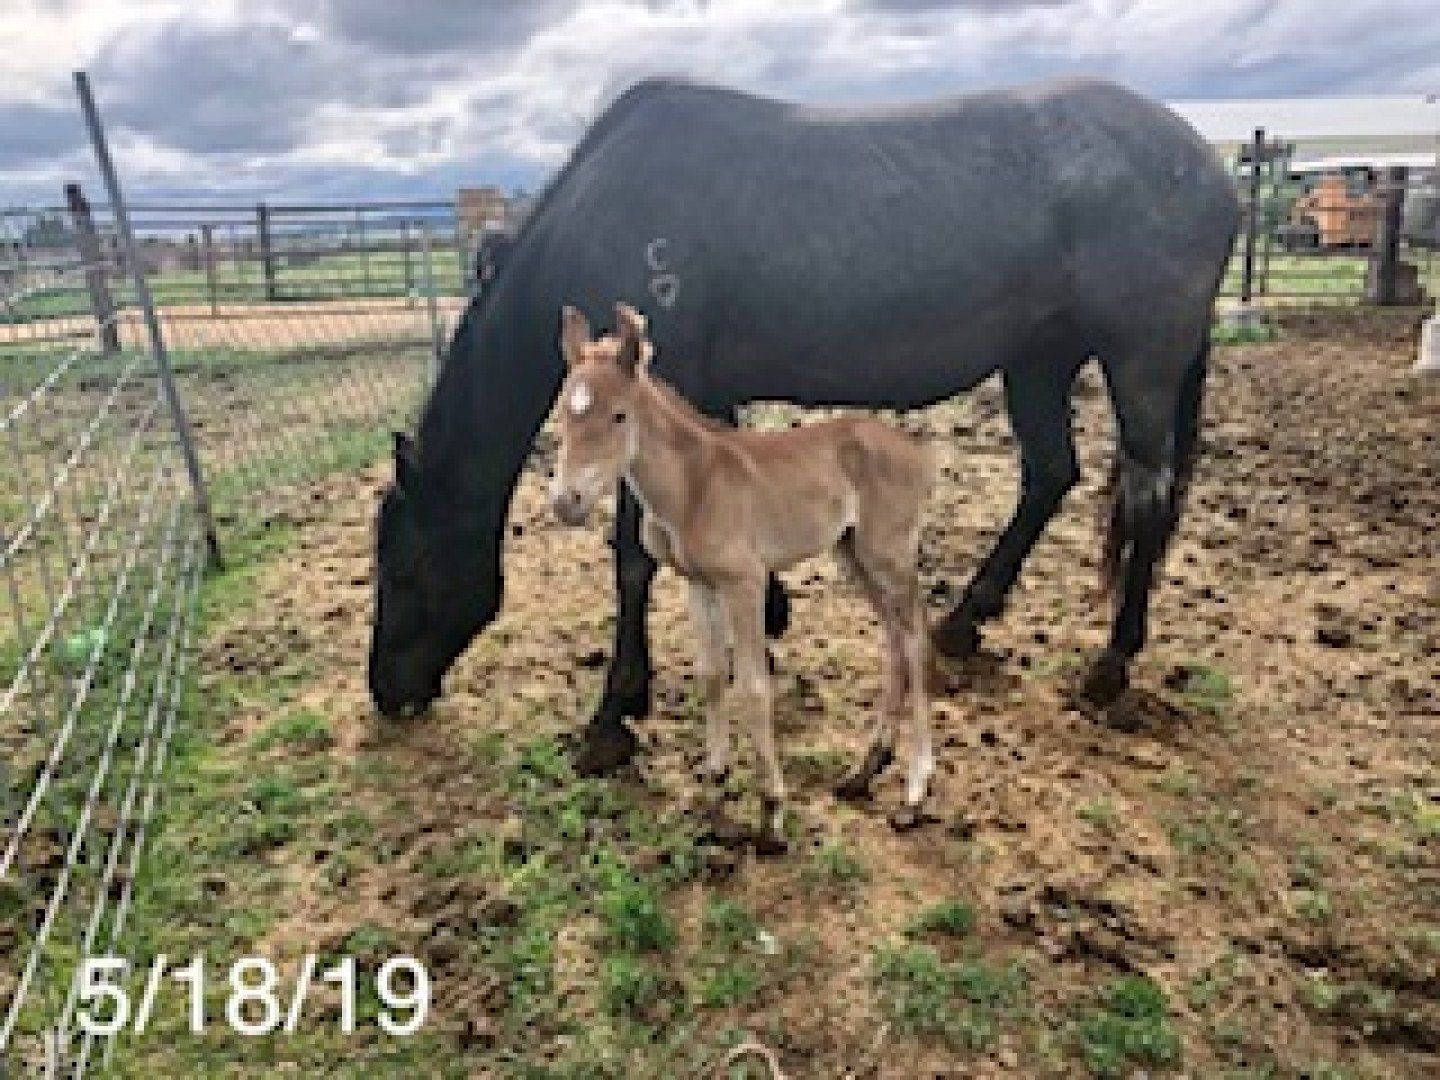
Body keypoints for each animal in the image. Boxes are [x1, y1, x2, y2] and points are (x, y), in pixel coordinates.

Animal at [368, 76, 1239, 778]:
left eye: (405, 569)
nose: (385, 690)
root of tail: (1209, 170)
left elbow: (632, 561)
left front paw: (613, 715)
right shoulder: (704, 399)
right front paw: (775, 614)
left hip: (1140, 365)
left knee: (1147, 498)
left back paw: (1111, 663)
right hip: (1038, 359)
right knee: (1052, 473)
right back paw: (962, 624)